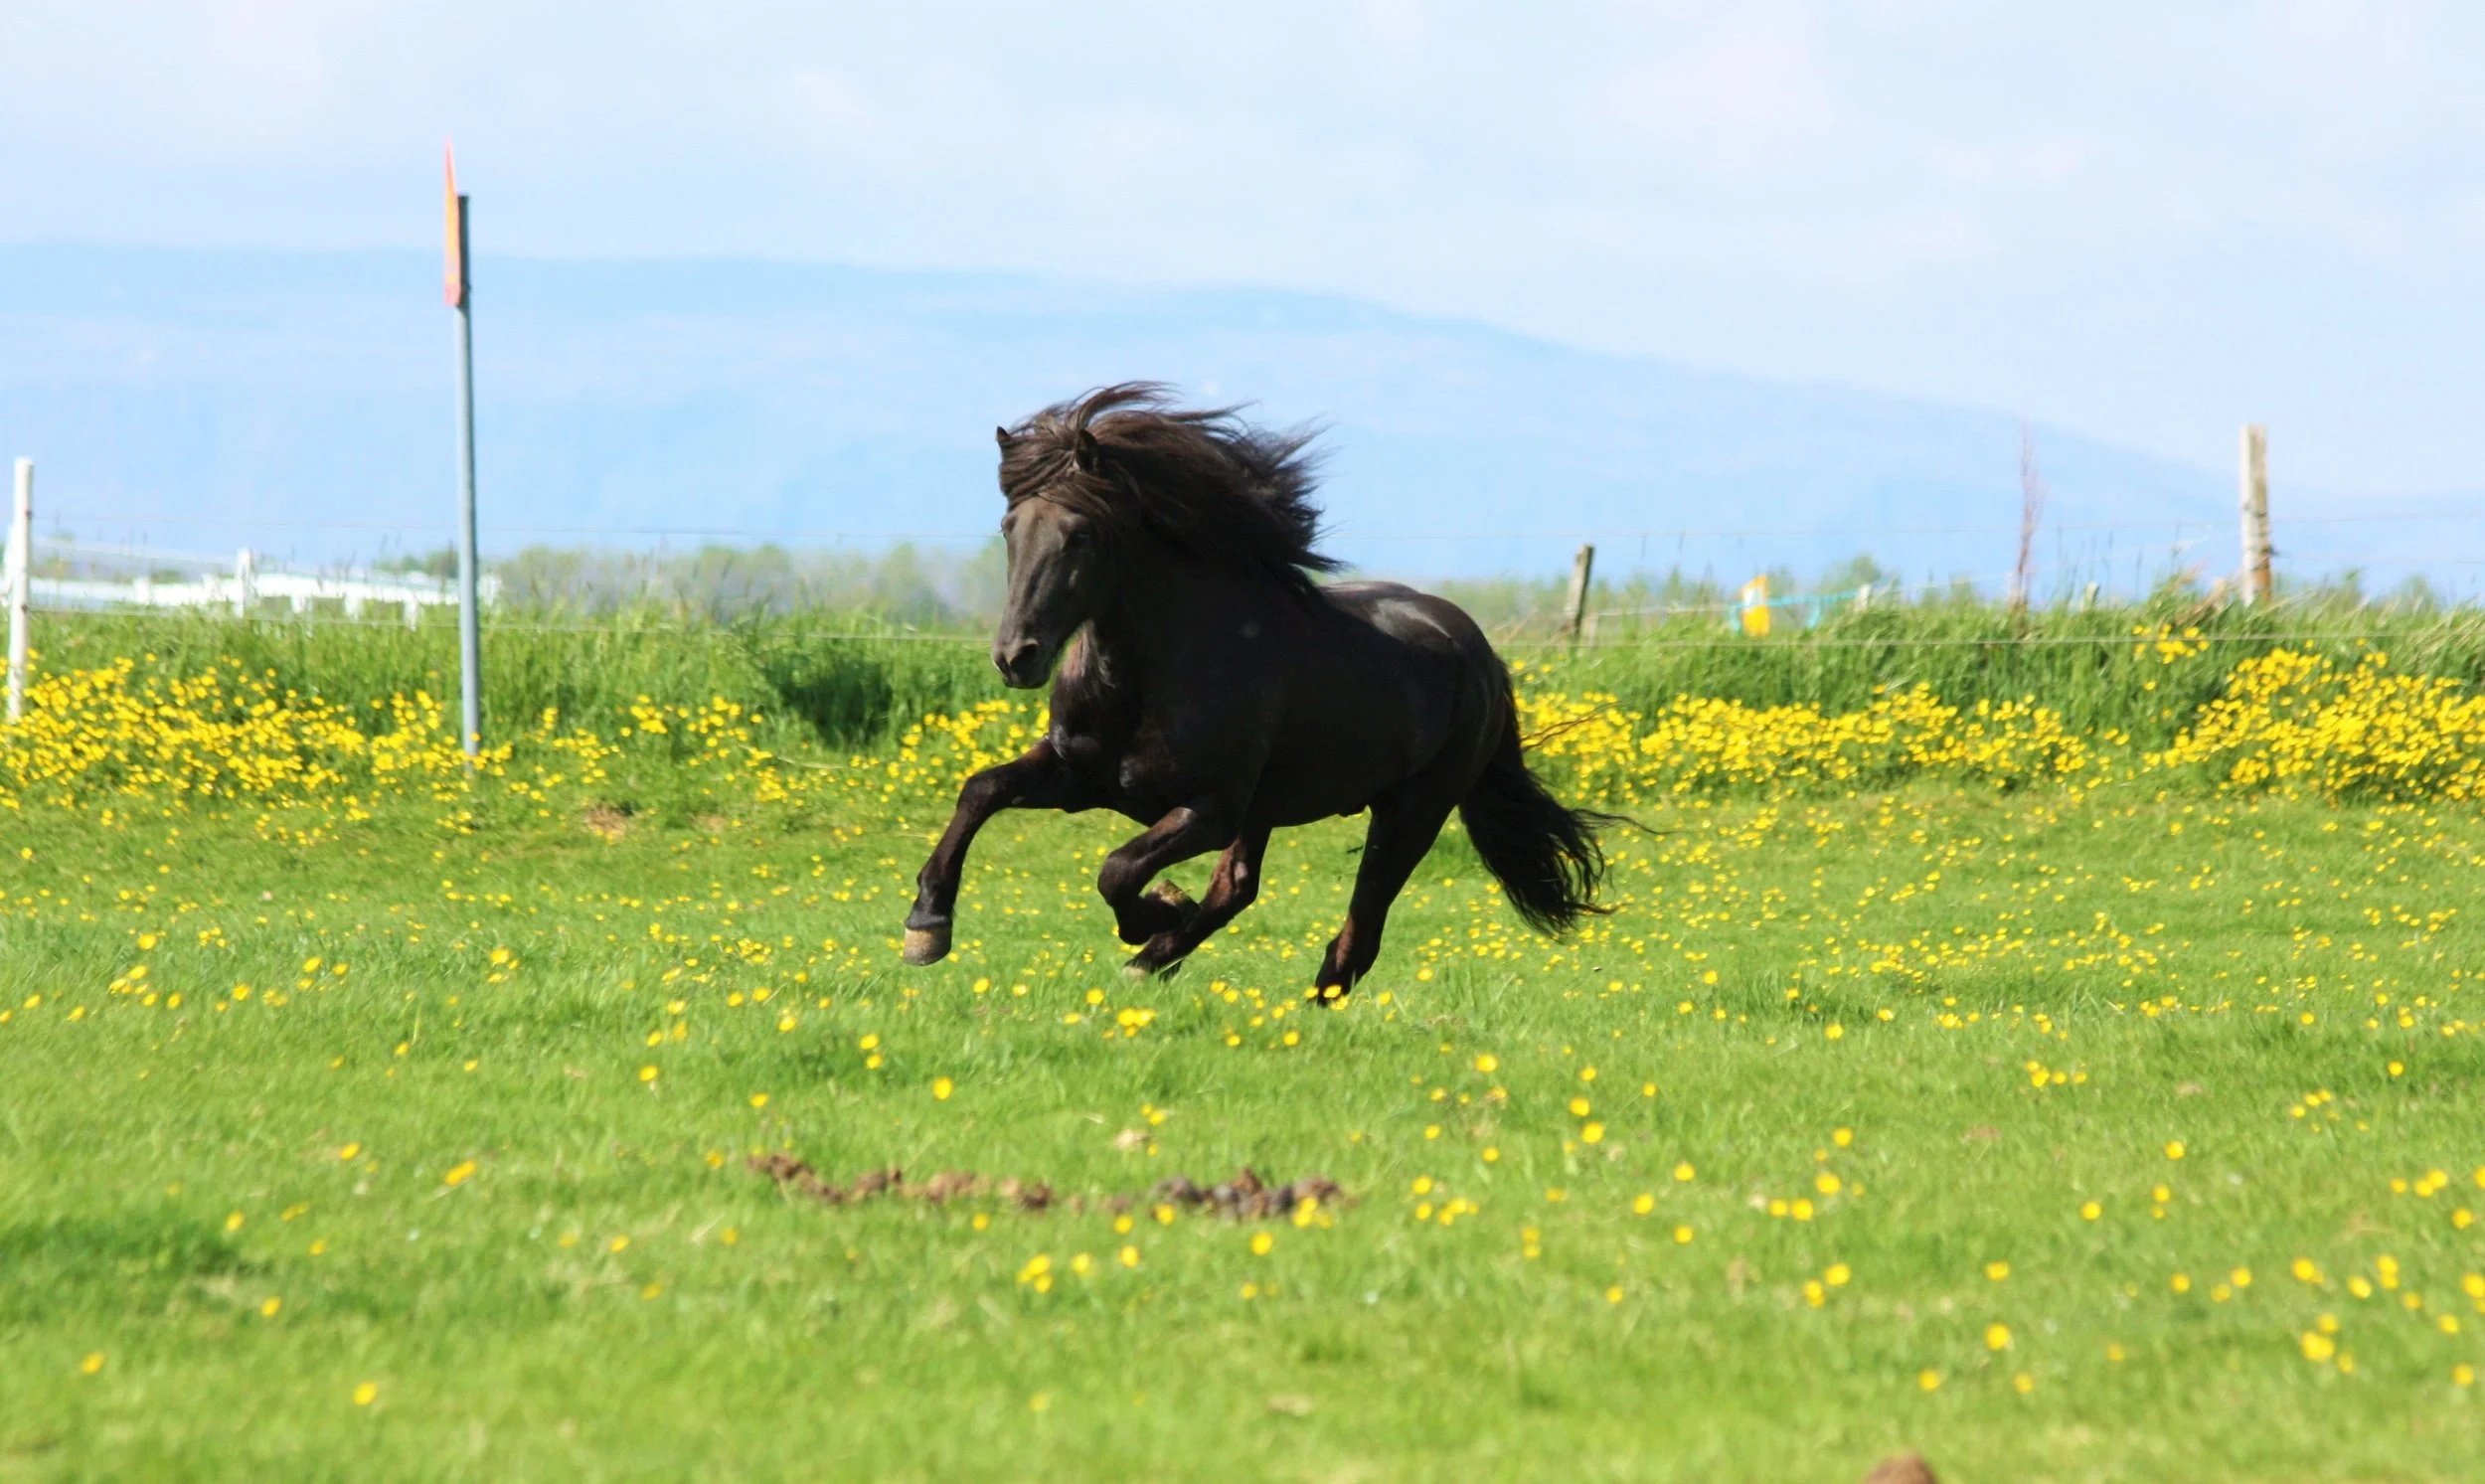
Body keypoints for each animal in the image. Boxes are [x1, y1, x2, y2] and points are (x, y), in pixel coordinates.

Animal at [900, 383, 1611, 996]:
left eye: (1080, 533)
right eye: (1009, 527)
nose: (1016, 656)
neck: (1151, 675)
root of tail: (1482, 654)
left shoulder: (1211, 810)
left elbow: (1117, 869)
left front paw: (1157, 910)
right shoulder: (1081, 777)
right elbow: (982, 791)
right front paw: (927, 926)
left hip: (1413, 810)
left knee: (1360, 926)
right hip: (1273, 809)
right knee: (1240, 889)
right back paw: (1155, 962)